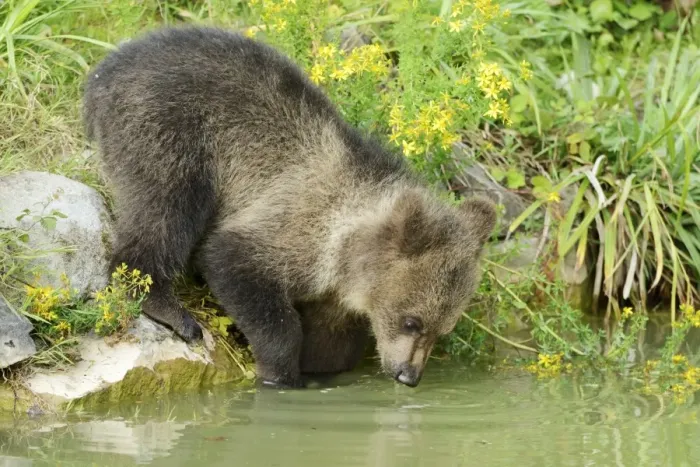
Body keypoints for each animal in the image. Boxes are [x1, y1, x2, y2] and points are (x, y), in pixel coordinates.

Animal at [83, 27, 496, 388]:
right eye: (412, 321)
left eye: (443, 327)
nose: (408, 376)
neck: (345, 254)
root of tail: (105, 70)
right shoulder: (296, 225)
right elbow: (233, 263)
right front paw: (279, 373)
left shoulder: (335, 294)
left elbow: (331, 344)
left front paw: (318, 368)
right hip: (168, 127)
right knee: (165, 208)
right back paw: (169, 308)